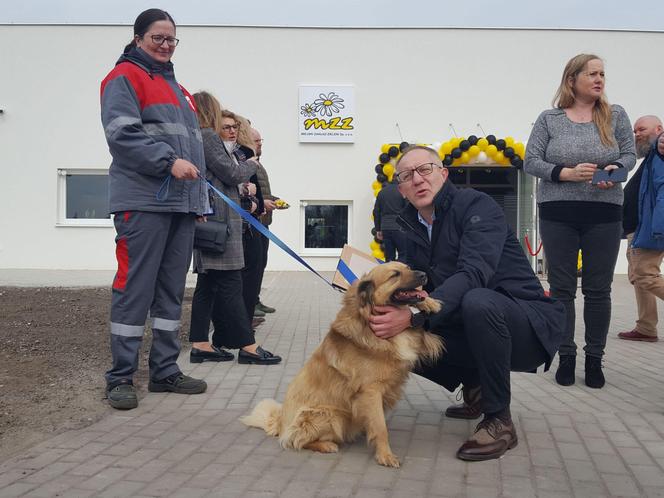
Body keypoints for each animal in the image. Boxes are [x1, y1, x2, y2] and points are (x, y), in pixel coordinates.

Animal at [241, 260, 444, 466]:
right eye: (394, 274)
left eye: (407, 268)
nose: (424, 275)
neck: (370, 315)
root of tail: (281, 422)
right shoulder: (370, 391)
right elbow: (380, 428)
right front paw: (385, 455)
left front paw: (431, 303)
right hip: (330, 415)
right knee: (296, 440)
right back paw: (326, 445)